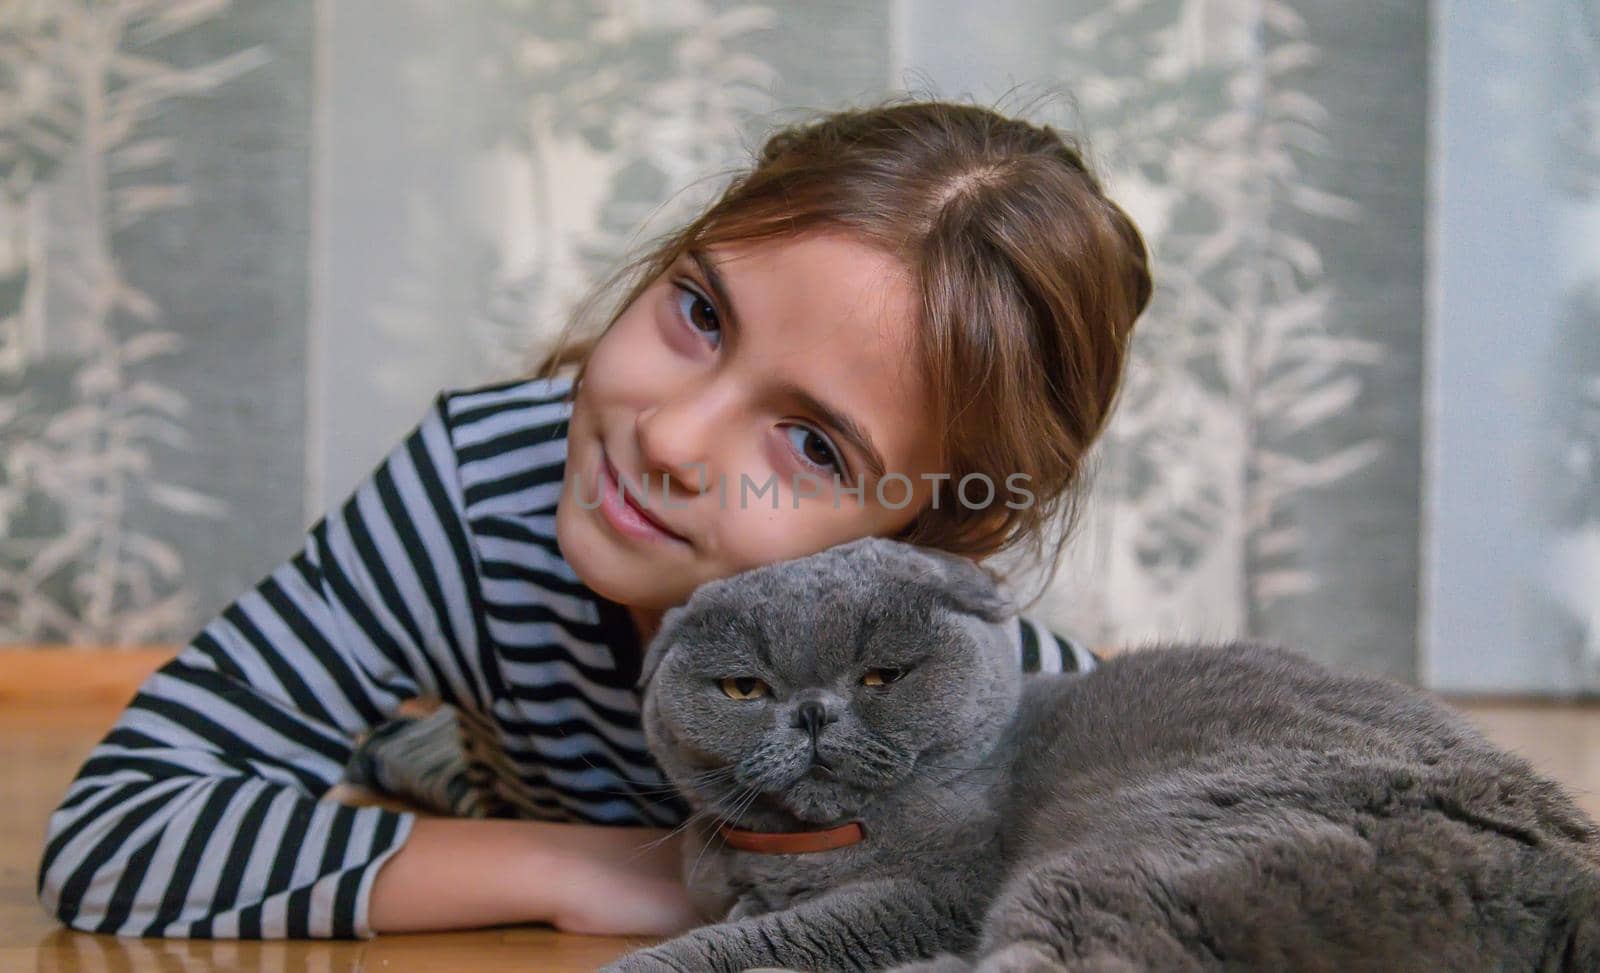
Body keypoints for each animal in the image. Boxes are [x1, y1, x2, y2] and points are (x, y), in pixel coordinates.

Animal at [601, 534, 1600, 966]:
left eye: (882, 675)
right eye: (744, 690)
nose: (811, 713)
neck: (802, 850)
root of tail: (1567, 880)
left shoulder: (943, 890)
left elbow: (778, 932)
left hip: (1124, 863)